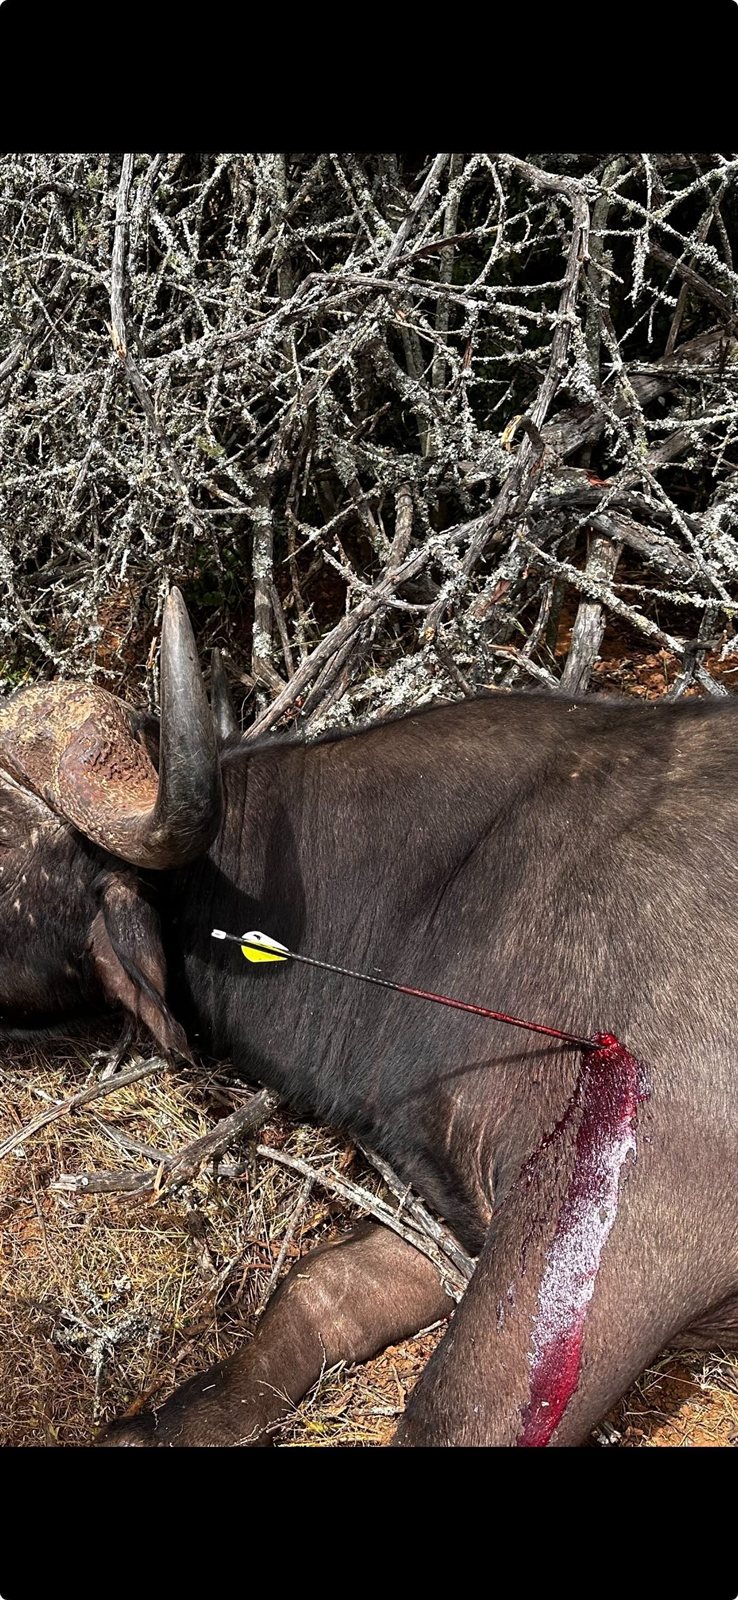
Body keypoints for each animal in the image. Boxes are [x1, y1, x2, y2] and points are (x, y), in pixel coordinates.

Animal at [1, 589, 736, 1446]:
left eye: (1, 842)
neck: (448, 898)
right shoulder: (459, 1216)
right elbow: (315, 1291)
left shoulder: (607, 1248)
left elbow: (442, 1416)